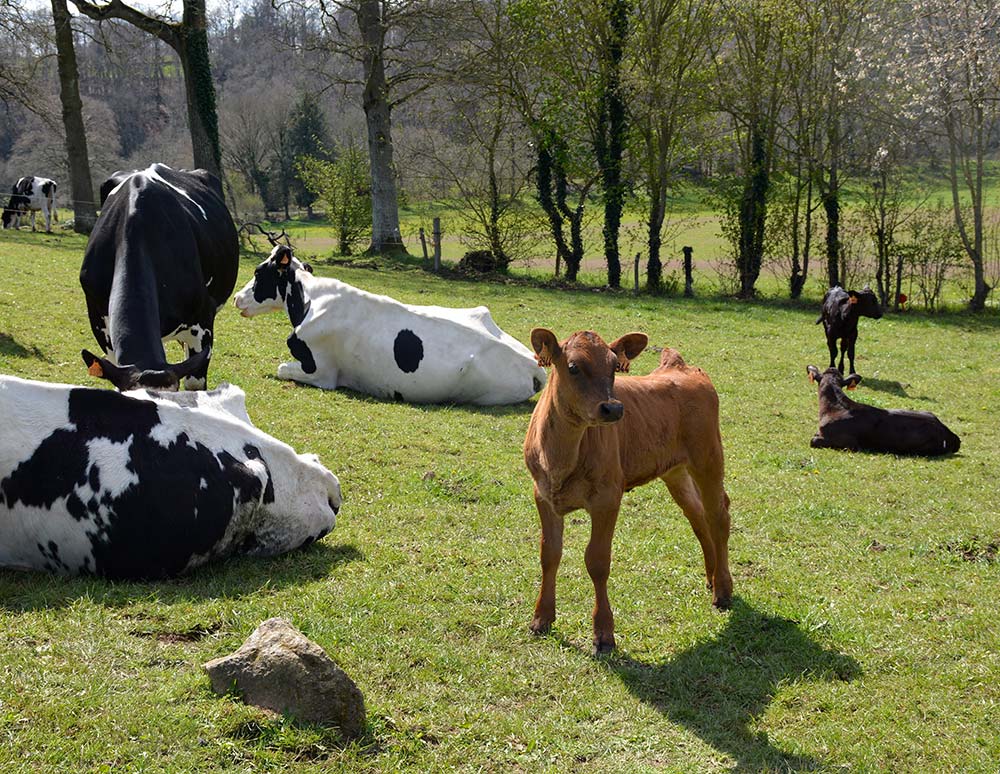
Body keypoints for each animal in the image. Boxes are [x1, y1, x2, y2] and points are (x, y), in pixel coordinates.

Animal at [232, 247, 548, 406]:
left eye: (258, 272)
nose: (236, 297)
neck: (311, 298)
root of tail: (535, 364)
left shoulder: (321, 372)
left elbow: (280, 368)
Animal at [524, 328, 736, 656]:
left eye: (615, 367)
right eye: (573, 367)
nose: (613, 408)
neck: (560, 458)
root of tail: (680, 367)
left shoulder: (607, 498)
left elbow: (597, 561)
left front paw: (603, 633)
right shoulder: (543, 495)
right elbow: (549, 554)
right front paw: (541, 618)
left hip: (709, 459)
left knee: (718, 517)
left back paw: (723, 590)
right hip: (675, 472)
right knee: (698, 518)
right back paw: (712, 578)